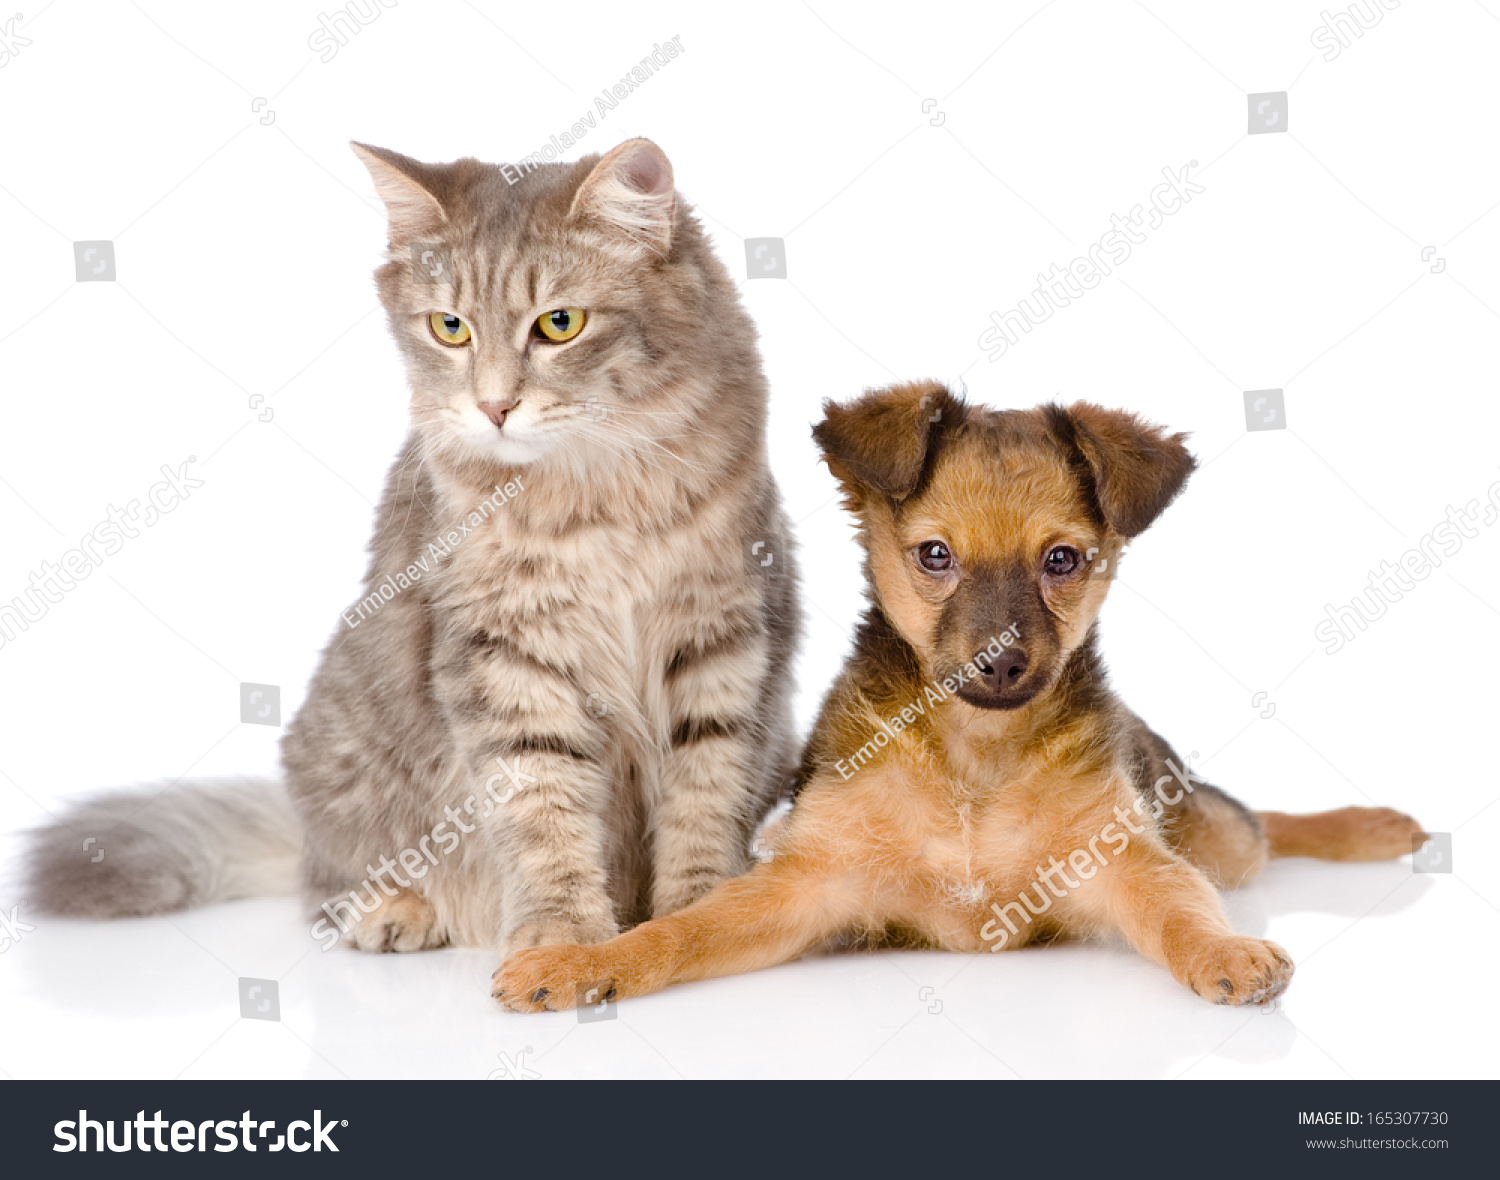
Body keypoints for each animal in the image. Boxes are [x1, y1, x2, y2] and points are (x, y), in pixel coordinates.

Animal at [23, 140, 804, 971]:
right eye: (451, 328)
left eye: (559, 324)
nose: (494, 406)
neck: (593, 494)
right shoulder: (503, 657)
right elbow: (542, 812)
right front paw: (561, 936)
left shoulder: (728, 637)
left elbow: (705, 800)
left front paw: (695, 916)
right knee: (324, 885)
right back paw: (395, 909)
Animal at [495, 382, 1428, 1013]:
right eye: (934, 556)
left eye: (1063, 560)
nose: (1001, 663)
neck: (976, 753)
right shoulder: (806, 885)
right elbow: (680, 932)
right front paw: (582, 963)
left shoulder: (1125, 858)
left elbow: (1182, 912)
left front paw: (1226, 952)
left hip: (1201, 823)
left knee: (1256, 828)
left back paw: (1371, 825)